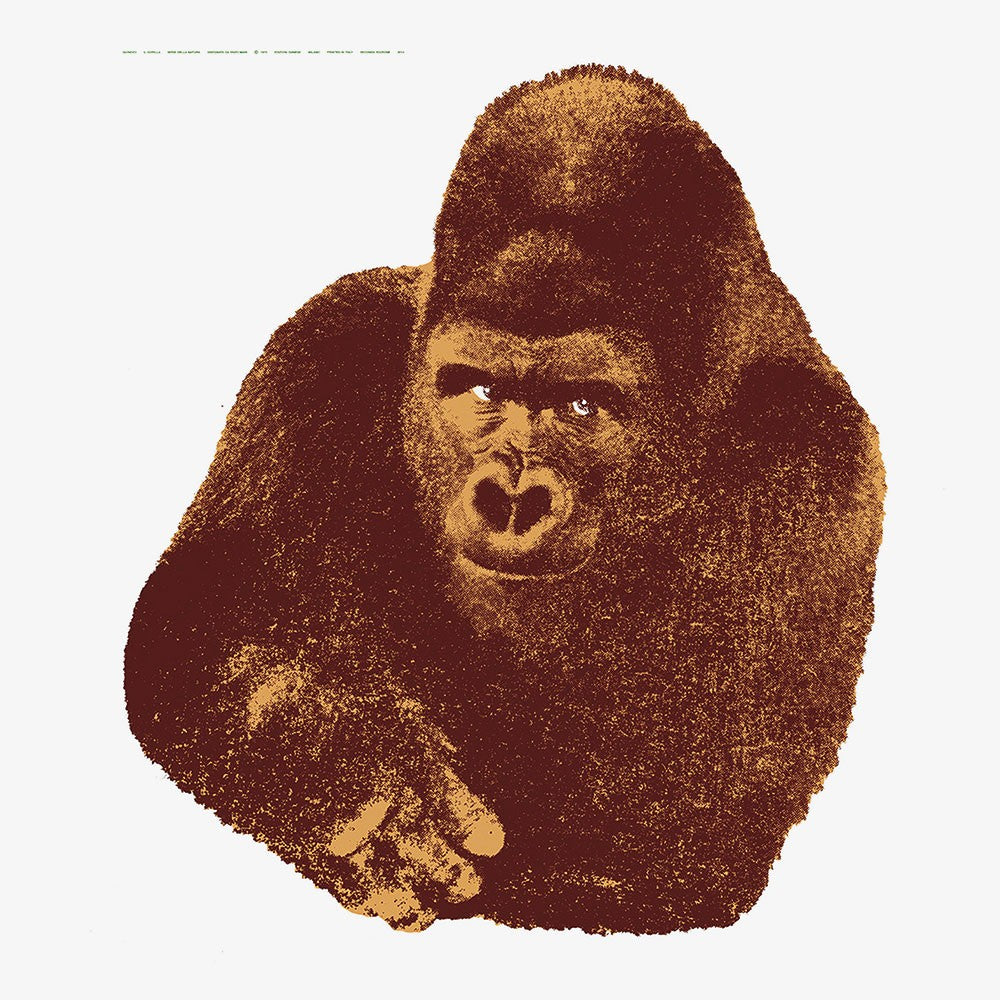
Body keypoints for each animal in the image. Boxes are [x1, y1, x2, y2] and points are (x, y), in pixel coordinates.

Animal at [125, 65, 885, 935]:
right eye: (480, 389)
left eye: (584, 406)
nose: (511, 500)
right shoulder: (320, 343)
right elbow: (194, 617)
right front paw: (332, 754)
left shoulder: (817, 468)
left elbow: (659, 843)